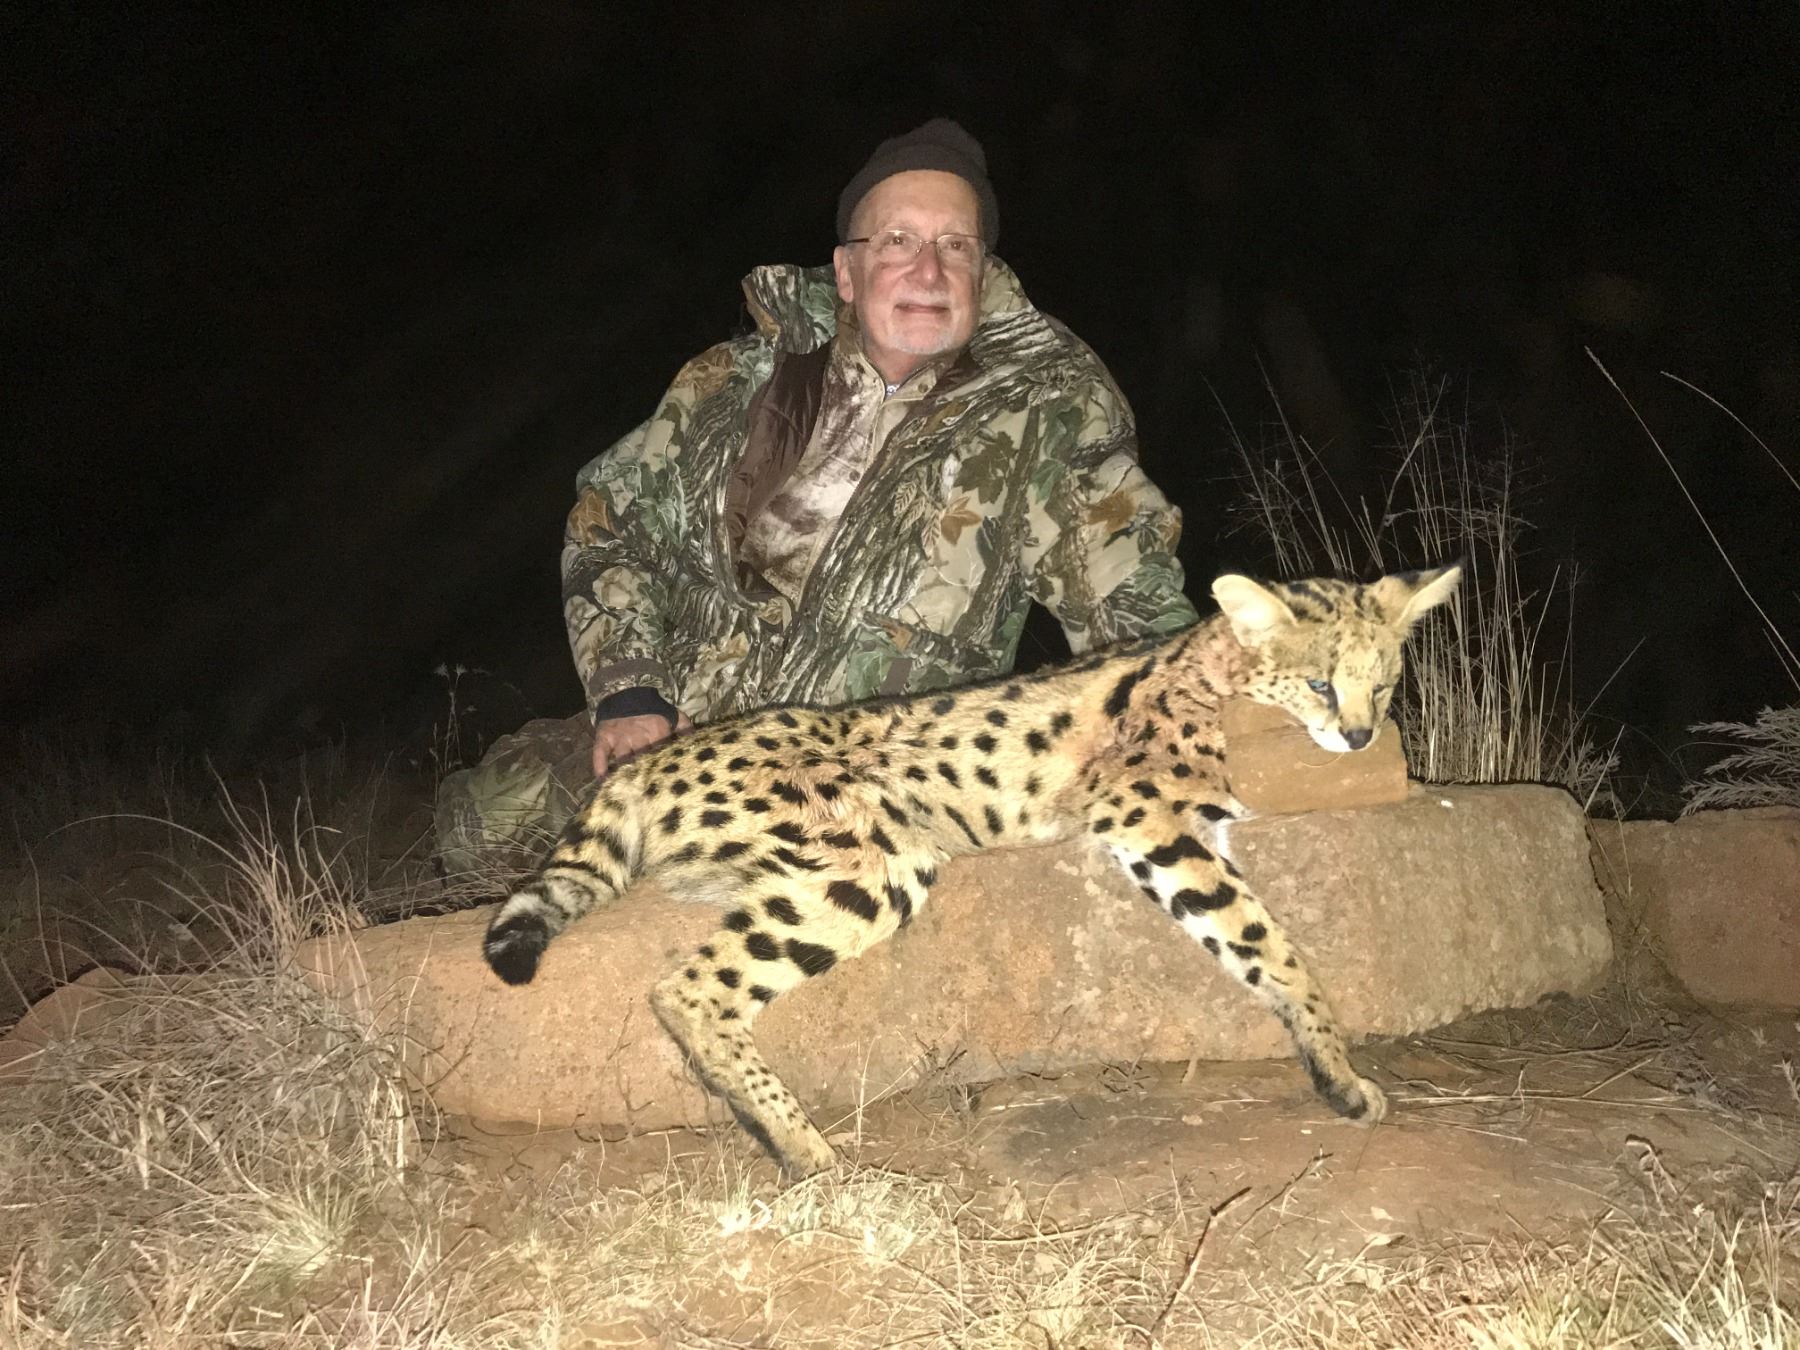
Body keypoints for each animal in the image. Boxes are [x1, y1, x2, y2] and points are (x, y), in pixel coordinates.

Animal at [484, 564, 1462, 1177]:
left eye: (1385, 683)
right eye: (1321, 683)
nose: (1361, 736)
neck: (1215, 670)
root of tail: (645, 762)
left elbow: (1264, 944)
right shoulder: (1151, 818)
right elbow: (1272, 945)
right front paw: (1342, 1075)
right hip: (880, 861)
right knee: (687, 987)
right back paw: (803, 1149)